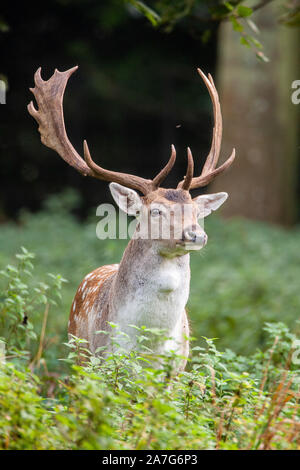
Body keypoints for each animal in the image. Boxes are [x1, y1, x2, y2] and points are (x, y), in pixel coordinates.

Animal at [27, 66, 234, 370]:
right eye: (156, 211)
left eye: (196, 212)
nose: (196, 234)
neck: (151, 345)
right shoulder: (106, 361)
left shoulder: (179, 366)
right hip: (78, 353)